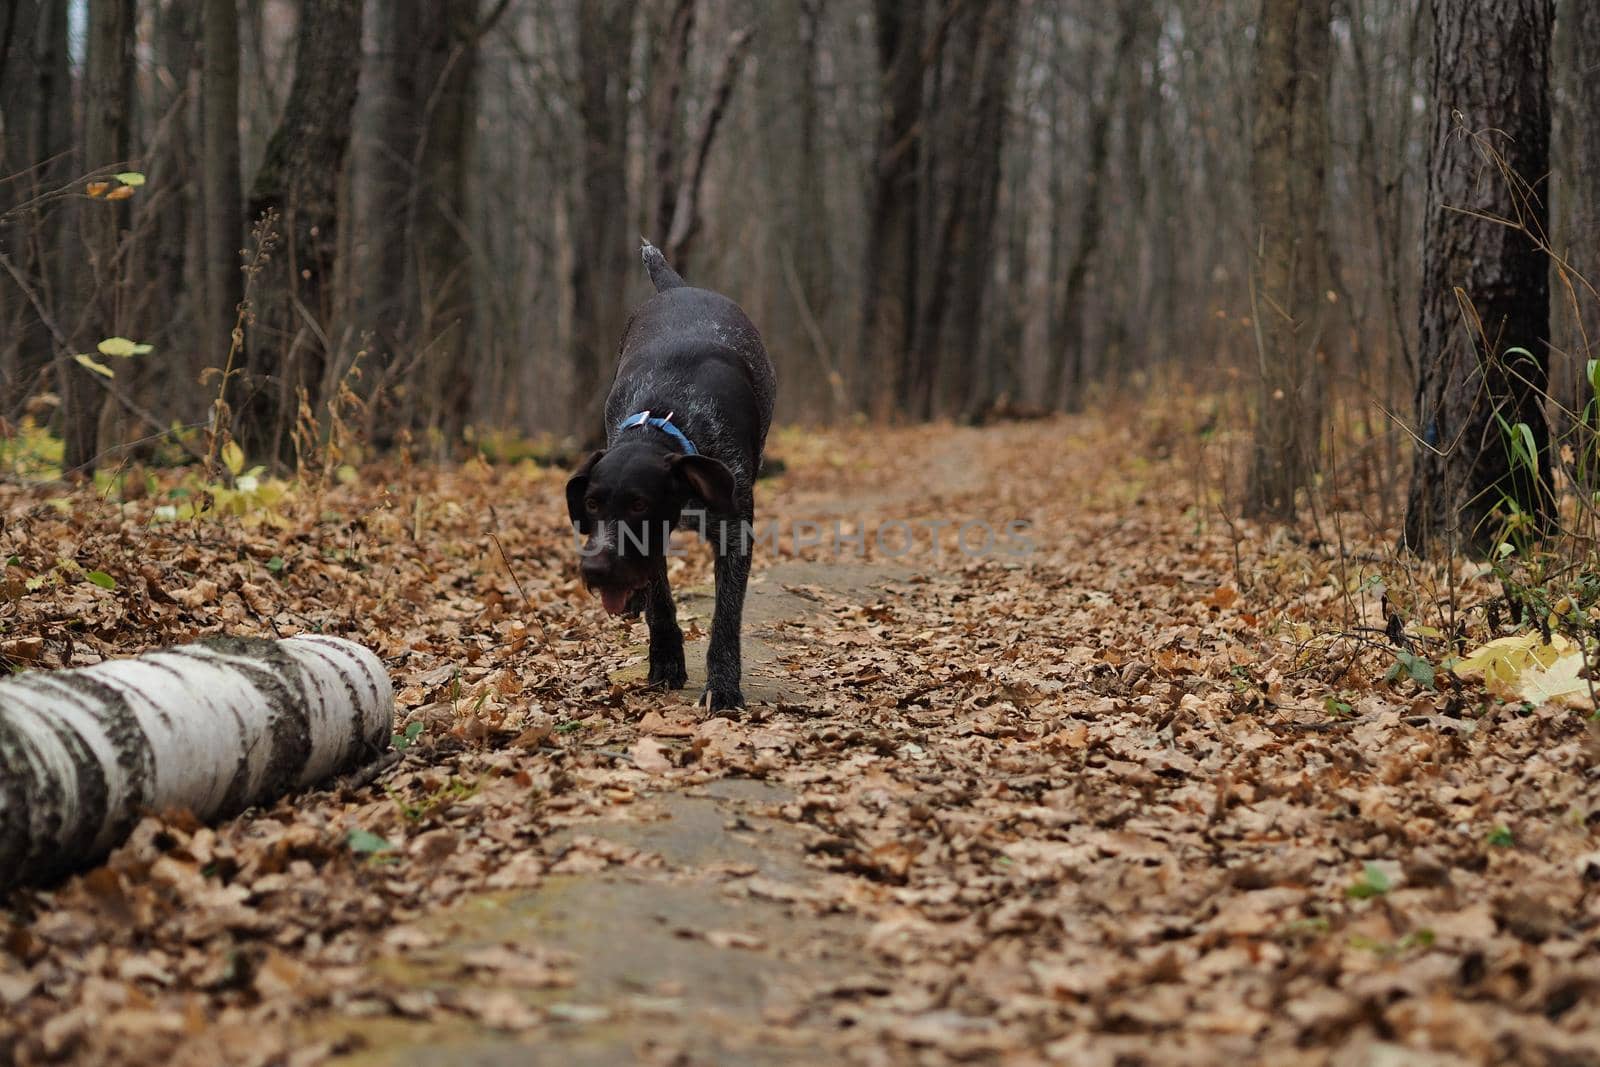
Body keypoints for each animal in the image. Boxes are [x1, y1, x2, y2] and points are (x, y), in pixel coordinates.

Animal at [569, 241, 774, 710]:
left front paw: (723, 685)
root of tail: (679, 287)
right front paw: (664, 658)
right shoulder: (652, 540)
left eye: (639, 504)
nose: (595, 569)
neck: (667, 418)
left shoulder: (734, 531)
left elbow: (725, 617)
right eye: (591, 503)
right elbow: (660, 598)